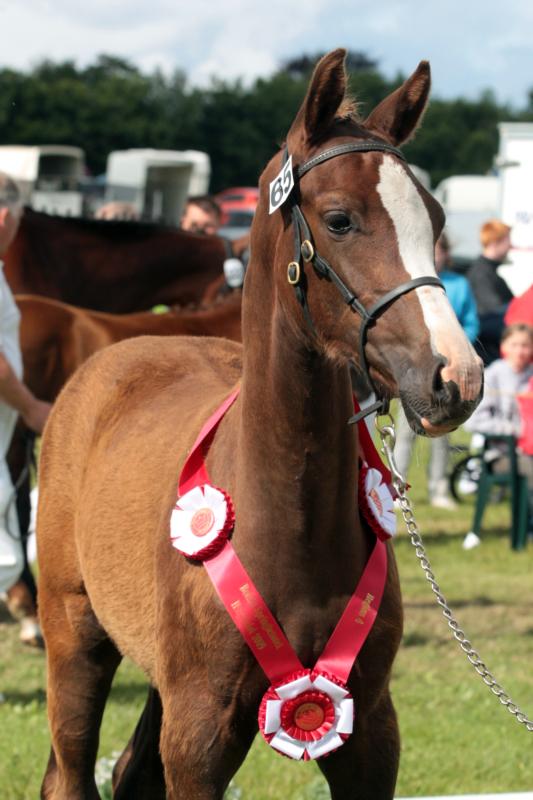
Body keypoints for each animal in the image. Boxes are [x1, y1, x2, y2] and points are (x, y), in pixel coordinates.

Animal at [37, 49, 483, 800]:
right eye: (339, 219)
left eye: (437, 215)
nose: (456, 376)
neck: (286, 525)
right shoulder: (199, 736)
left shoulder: (370, 733)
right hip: (74, 639)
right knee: (71, 773)